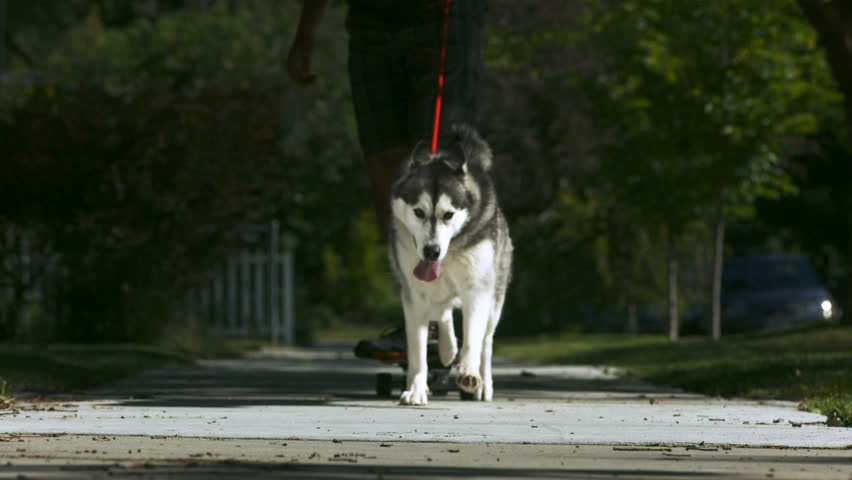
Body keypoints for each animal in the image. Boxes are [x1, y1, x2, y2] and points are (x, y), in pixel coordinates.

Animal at [388, 124, 512, 404]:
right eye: (418, 212)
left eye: (449, 215)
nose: (431, 251)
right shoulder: (413, 295)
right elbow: (418, 352)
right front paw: (416, 388)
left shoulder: (477, 289)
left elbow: (474, 338)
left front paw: (469, 373)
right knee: (442, 312)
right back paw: (446, 350)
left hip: (495, 297)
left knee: (486, 341)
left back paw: (483, 383)